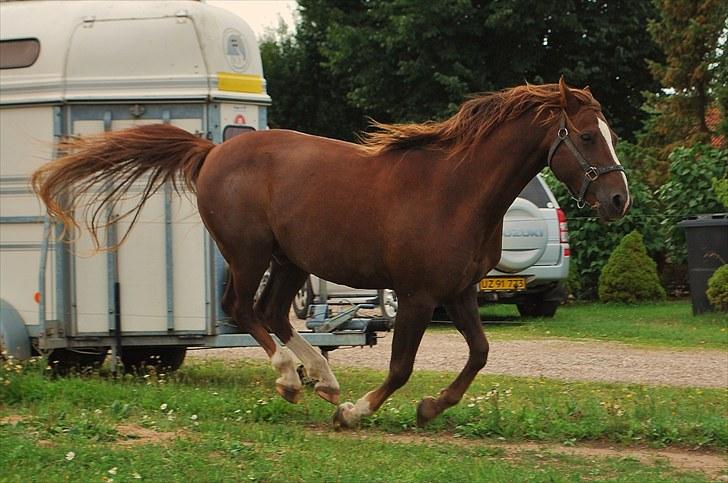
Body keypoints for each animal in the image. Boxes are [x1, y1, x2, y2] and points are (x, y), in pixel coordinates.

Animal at [31, 78, 628, 428]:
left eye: (610, 134)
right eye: (586, 136)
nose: (619, 199)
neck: (456, 190)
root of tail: (212, 152)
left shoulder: (458, 292)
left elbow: (479, 353)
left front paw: (429, 408)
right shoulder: (417, 295)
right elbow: (402, 365)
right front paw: (354, 413)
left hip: (291, 261)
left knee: (272, 312)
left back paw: (322, 378)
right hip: (249, 253)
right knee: (241, 308)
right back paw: (293, 379)